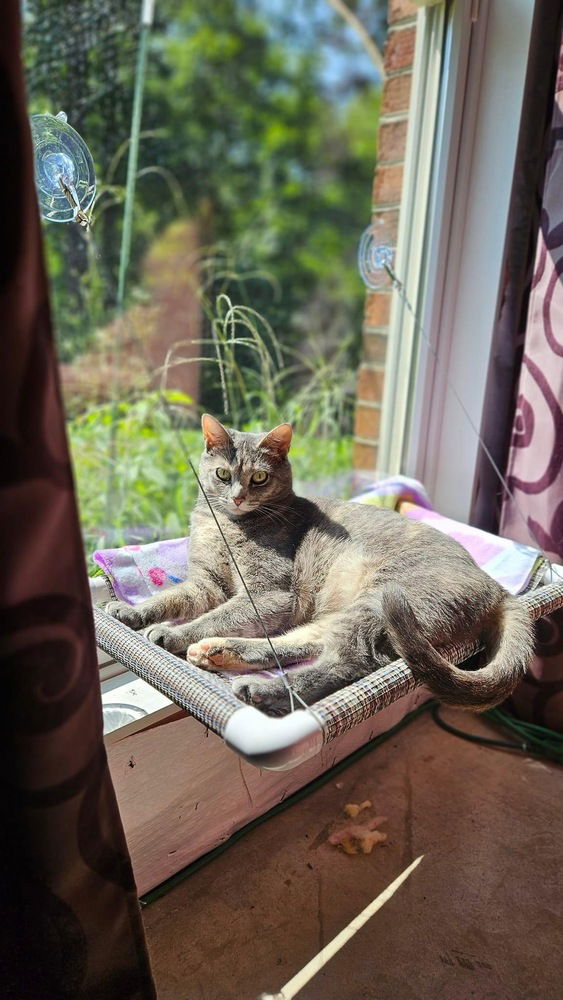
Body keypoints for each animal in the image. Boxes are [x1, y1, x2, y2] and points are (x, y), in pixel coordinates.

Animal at [106, 418, 532, 716]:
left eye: (259, 477)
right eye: (223, 474)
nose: (238, 497)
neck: (224, 525)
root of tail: (498, 589)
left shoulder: (266, 594)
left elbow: (212, 616)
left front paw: (173, 634)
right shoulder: (205, 583)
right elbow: (171, 597)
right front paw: (130, 611)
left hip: (378, 602)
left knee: (344, 663)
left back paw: (258, 688)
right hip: (339, 612)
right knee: (301, 643)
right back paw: (221, 653)